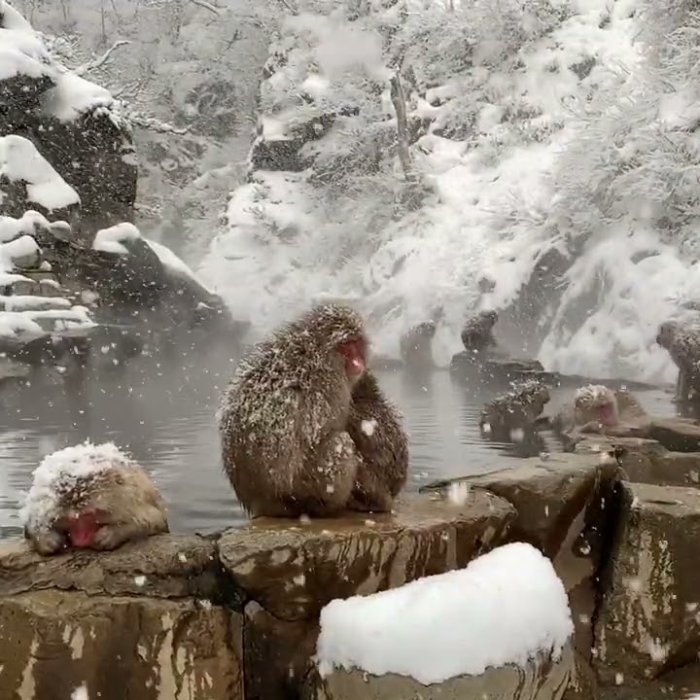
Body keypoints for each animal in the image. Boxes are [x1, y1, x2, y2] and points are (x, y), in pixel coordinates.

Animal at [21, 441, 169, 556]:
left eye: (89, 515)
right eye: (72, 519)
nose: (80, 539)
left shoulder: (132, 500)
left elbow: (154, 521)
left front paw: (111, 534)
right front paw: (47, 539)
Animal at [218, 303, 371, 519]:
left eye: (356, 343)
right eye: (345, 346)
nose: (358, 361)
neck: (317, 349)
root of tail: (261, 501)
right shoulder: (332, 386)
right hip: (303, 489)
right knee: (339, 443)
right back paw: (331, 507)